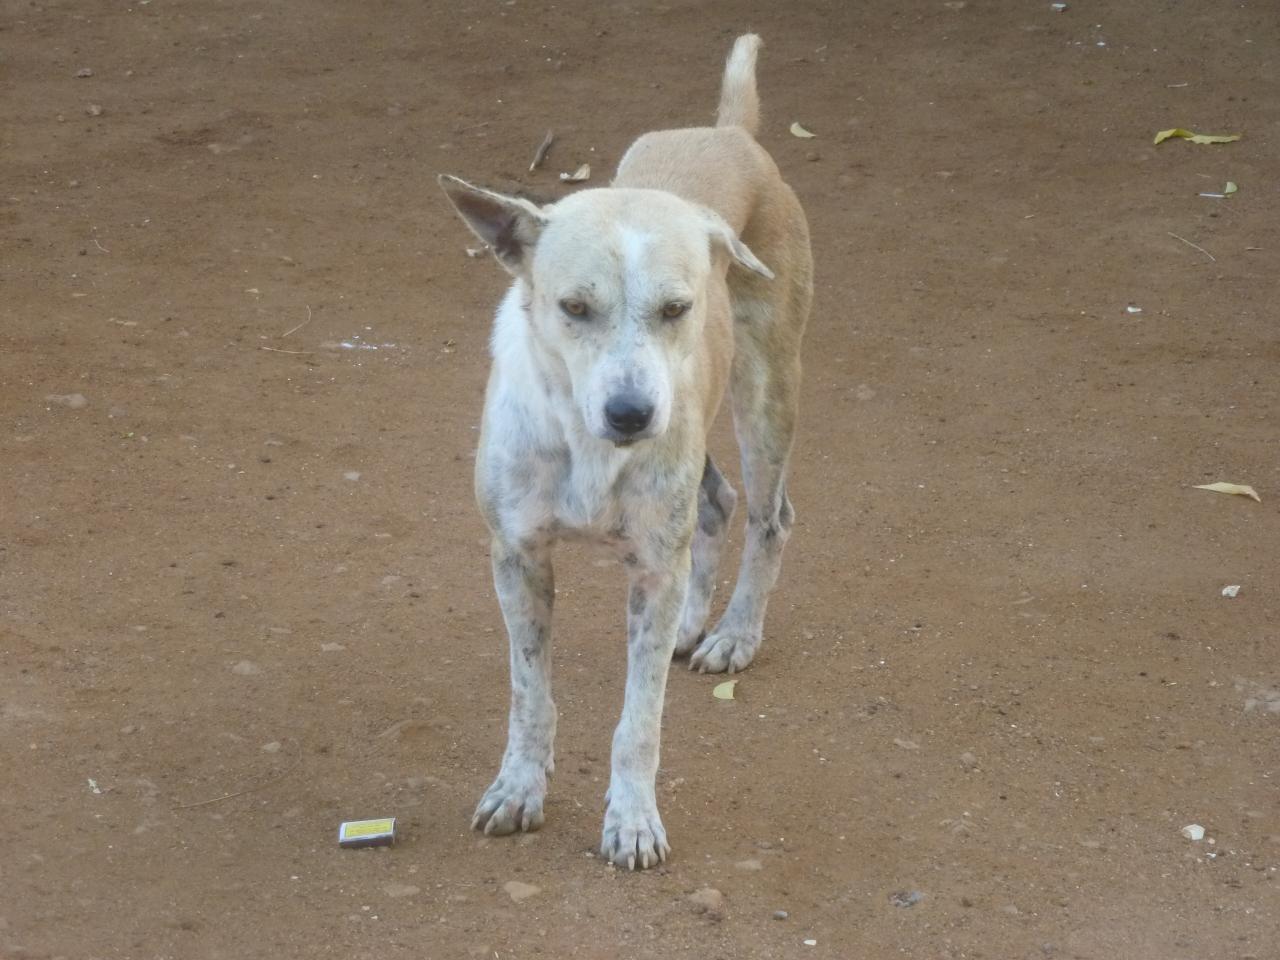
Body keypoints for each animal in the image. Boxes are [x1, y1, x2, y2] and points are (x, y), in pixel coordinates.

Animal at [439, 33, 812, 870]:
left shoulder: (650, 568)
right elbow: (529, 694)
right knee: (718, 501)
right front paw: (519, 786)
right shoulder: (517, 558)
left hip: (763, 391)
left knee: (770, 515)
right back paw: (694, 623)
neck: (583, 443)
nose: (632, 413)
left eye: (677, 308)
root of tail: (727, 131)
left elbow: (639, 722)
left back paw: (733, 633)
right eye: (573, 307)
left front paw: (633, 819)